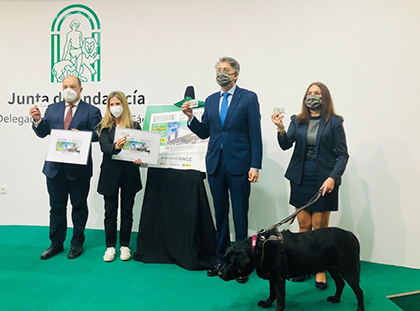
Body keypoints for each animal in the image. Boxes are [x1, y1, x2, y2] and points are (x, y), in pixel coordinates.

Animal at [220, 227, 364, 311]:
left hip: (348, 269)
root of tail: (351, 234)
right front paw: (267, 304)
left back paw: (359, 309)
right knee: (340, 283)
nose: (219, 272)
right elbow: (272, 293)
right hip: (332, 267)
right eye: (224, 260)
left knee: (359, 291)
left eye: (231, 263)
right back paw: (335, 299)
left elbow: (280, 299)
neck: (260, 248)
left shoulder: (279, 278)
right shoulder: (272, 277)